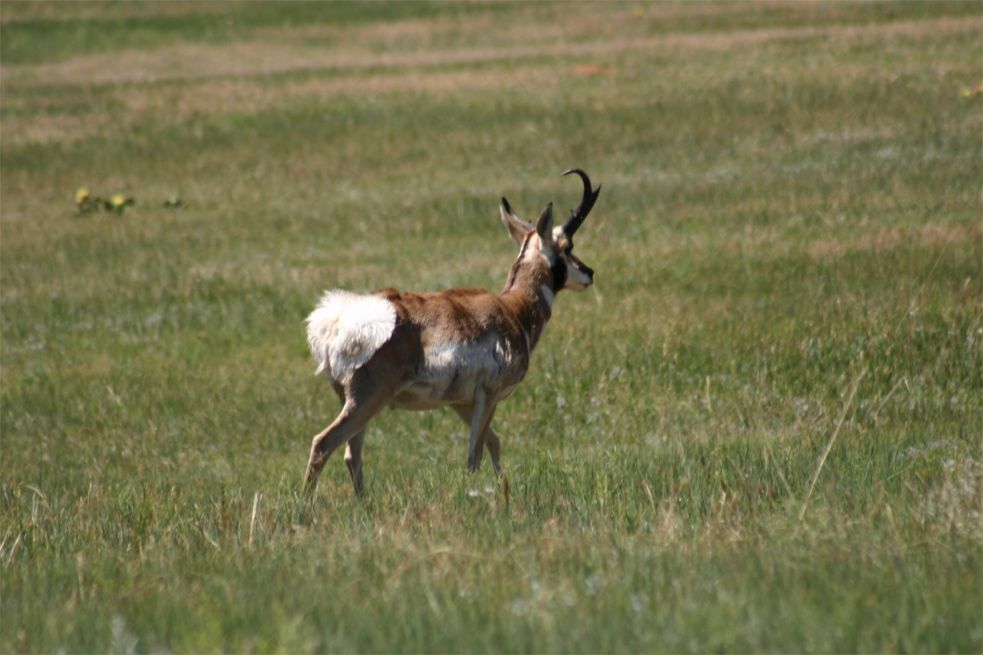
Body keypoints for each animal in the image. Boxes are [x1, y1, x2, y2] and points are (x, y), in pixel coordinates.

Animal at [304, 169, 604, 498]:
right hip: (368, 398)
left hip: (356, 402)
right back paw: (306, 506)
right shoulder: (489, 395)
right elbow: (474, 454)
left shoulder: (460, 403)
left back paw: (363, 504)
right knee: (323, 444)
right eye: (568, 247)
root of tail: (337, 319)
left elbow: (493, 443)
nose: (589, 273)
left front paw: (504, 490)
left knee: (351, 454)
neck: (513, 308)